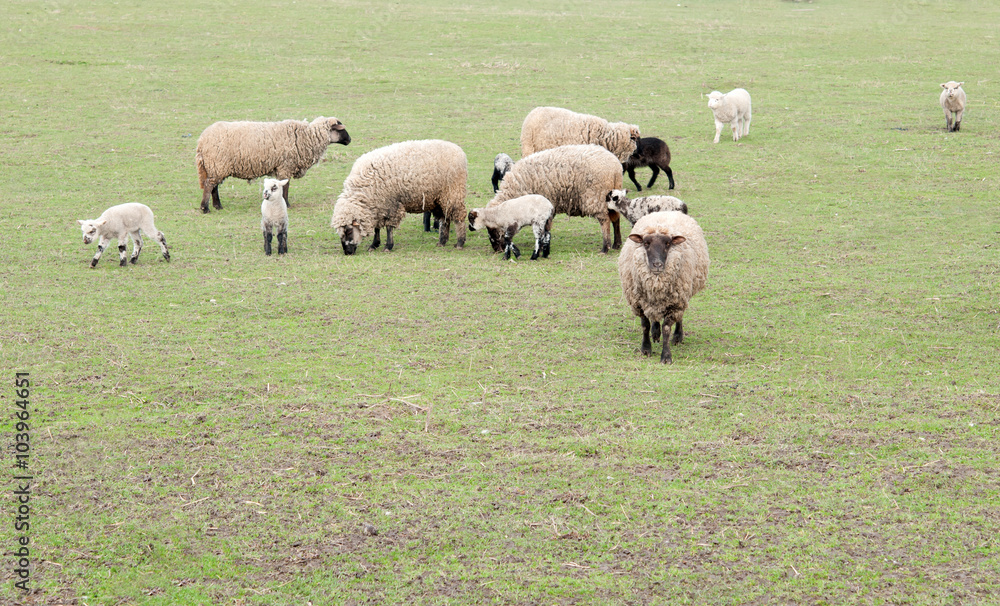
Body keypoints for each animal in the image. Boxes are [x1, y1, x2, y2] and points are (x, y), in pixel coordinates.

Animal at [195, 116, 351, 213]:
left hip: (215, 166)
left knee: (214, 186)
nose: (349, 140)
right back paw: (205, 208)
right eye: (341, 129)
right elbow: (285, 186)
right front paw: (286, 204)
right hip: (218, 164)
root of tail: (202, 140)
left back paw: (217, 206)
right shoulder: (285, 166)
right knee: (209, 185)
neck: (307, 136)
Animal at [331, 139, 467, 255]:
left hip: (453, 192)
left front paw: (388, 246)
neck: (363, 192)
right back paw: (442, 241)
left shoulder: (391, 205)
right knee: (445, 219)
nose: (347, 252)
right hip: (440, 198)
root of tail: (459, 150)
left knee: (459, 217)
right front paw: (374, 244)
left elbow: (388, 227)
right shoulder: (378, 205)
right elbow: (377, 228)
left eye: (349, 231)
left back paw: (460, 242)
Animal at [486, 144, 625, 254]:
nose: (497, 250)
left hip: (595, 197)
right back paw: (616, 244)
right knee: (616, 218)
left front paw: (540, 249)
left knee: (605, 221)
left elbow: (543, 229)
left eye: (493, 228)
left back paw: (605, 248)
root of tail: (615, 167)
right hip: (612, 195)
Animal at [617, 211, 709, 364]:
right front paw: (646, 348)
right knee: (654, 317)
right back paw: (655, 333)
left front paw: (666, 356)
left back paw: (677, 336)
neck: (656, 281)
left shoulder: (675, 302)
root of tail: (668, 211)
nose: (657, 265)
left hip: (682, 295)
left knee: (679, 316)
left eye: (668, 243)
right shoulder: (638, 303)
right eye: (646, 243)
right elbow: (645, 325)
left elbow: (666, 328)